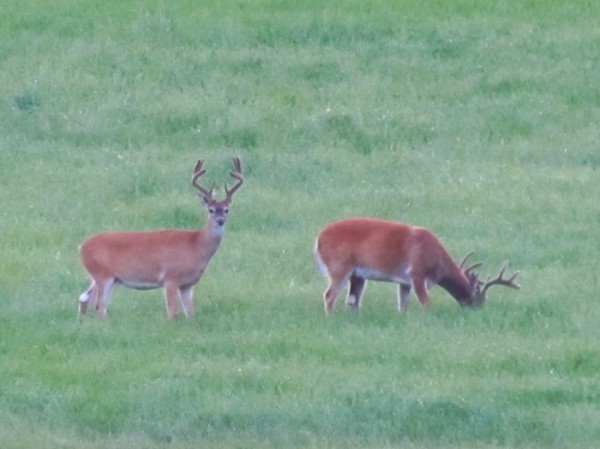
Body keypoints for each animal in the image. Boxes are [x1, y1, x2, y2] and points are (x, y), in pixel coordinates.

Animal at [79, 157, 244, 318]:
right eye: (211, 210)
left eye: (226, 209)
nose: (220, 220)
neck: (195, 244)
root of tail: (82, 247)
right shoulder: (170, 277)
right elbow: (172, 313)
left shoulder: (187, 284)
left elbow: (191, 313)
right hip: (102, 274)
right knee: (99, 306)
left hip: (104, 277)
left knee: (84, 298)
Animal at [314, 216, 520, 314]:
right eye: (478, 299)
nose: (477, 311)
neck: (437, 262)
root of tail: (318, 240)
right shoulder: (417, 273)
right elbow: (426, 303)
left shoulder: (404, 282)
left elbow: (403, 305)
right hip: (339, 266)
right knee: (329, 295)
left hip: (357, 275)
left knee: (352, 301)